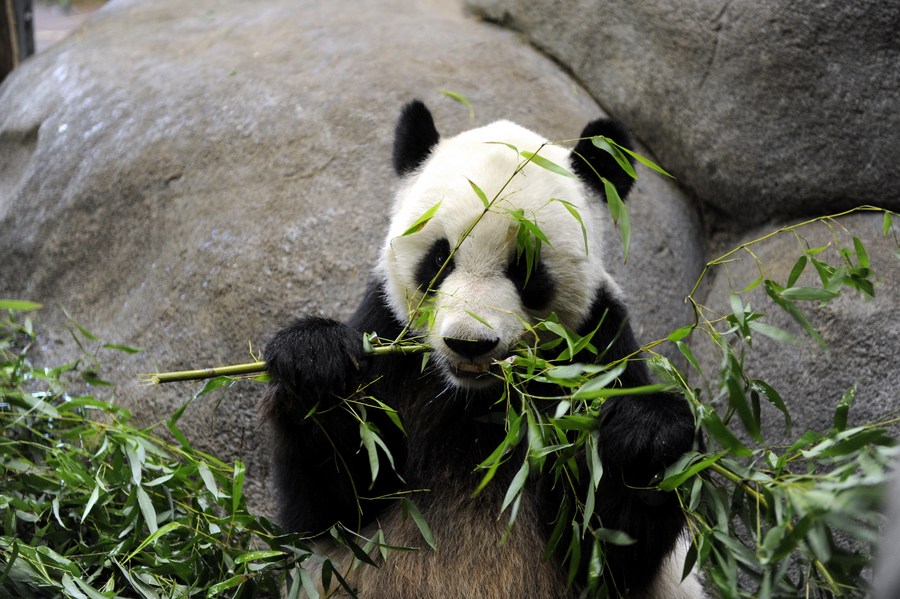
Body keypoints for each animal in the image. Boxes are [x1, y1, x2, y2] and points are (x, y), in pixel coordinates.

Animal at [262, 100, 703, 598]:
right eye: (439, 259)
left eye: (525, 269)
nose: (468, 343)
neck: (478, 400)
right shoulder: (389, 336)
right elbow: (334, 502)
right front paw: (315, 363)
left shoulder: (597, 350)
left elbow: (607, 544)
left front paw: (646, 435)